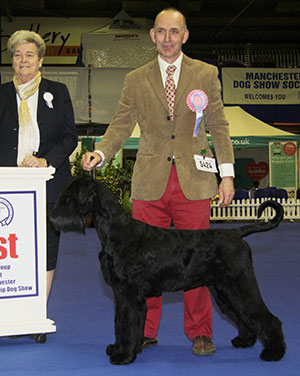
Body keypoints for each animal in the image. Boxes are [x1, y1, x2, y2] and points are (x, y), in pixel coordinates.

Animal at [50, 176, 288, 364]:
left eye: (68, 198)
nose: (52, 217)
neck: (116, 231)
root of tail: (237, 233)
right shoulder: (121, 295)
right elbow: (120, 323)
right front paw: (119, 348)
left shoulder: (129, 295)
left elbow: (126, 325)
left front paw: (123, 356)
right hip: (223, 291)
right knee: (242, 316)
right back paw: (244, 340)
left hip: (240, 284)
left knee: (266, 317)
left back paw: (274, 352)